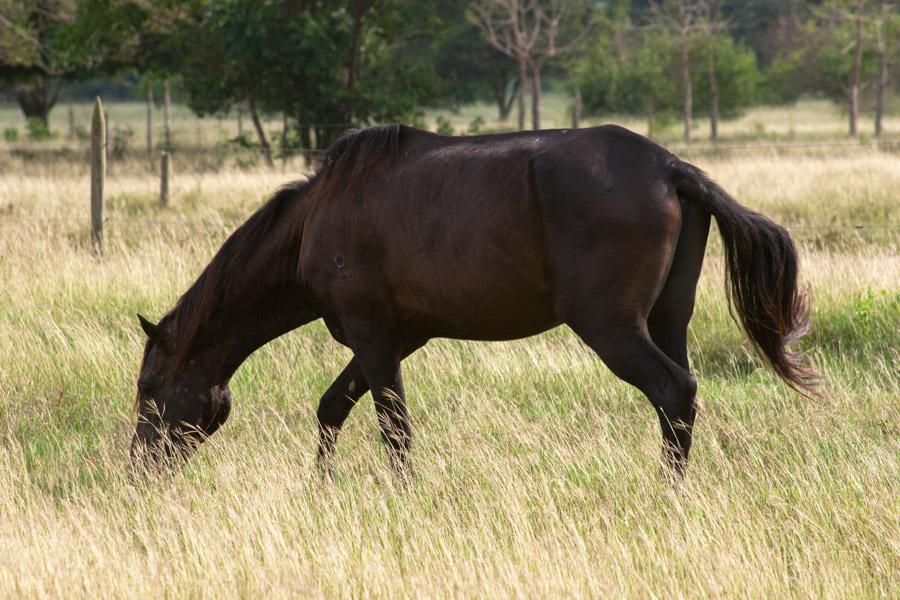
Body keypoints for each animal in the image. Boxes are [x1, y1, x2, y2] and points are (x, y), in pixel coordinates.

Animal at [132, 123, 816, 478]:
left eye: (147, 389)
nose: (139, 467)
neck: (315, 220)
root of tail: (672, 168)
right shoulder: (400, 335)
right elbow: (333, 408)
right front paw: (319, 488)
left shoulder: (373, 336)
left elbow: (393, 427)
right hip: (667, 320)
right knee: (682, 397)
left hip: (613, 328)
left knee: (673, 391)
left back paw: (664, 494)